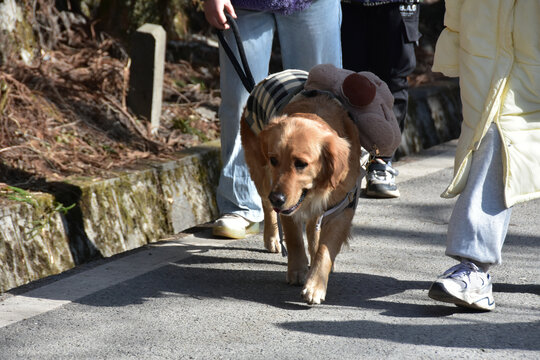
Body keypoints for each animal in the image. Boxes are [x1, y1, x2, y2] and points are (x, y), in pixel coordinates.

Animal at [242, 90, 360, 304]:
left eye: (301, 164)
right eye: (274, 159)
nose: (277, 198)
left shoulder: (342, 207)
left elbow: (324, 249)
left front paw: (316, 285)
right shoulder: (288, 207)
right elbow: (294, 239)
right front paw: (297, 271)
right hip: (261, 174)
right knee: (266, 206)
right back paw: (272, 238)